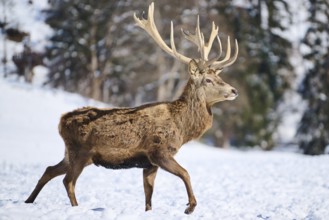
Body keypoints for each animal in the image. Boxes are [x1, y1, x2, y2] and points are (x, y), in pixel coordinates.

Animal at [23, 2, 238, 214]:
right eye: (208, 80)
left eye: (219, 77)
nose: (234, 90)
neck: (182, 128)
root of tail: (61, 121)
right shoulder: (159, 151)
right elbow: (185, 173)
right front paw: (190, 207)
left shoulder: (149, 164)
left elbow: (148, 195)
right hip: (80, 152)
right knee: (68, 181)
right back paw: (76, 208)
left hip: (70, 153)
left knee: (49, 170)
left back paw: (28, 200)